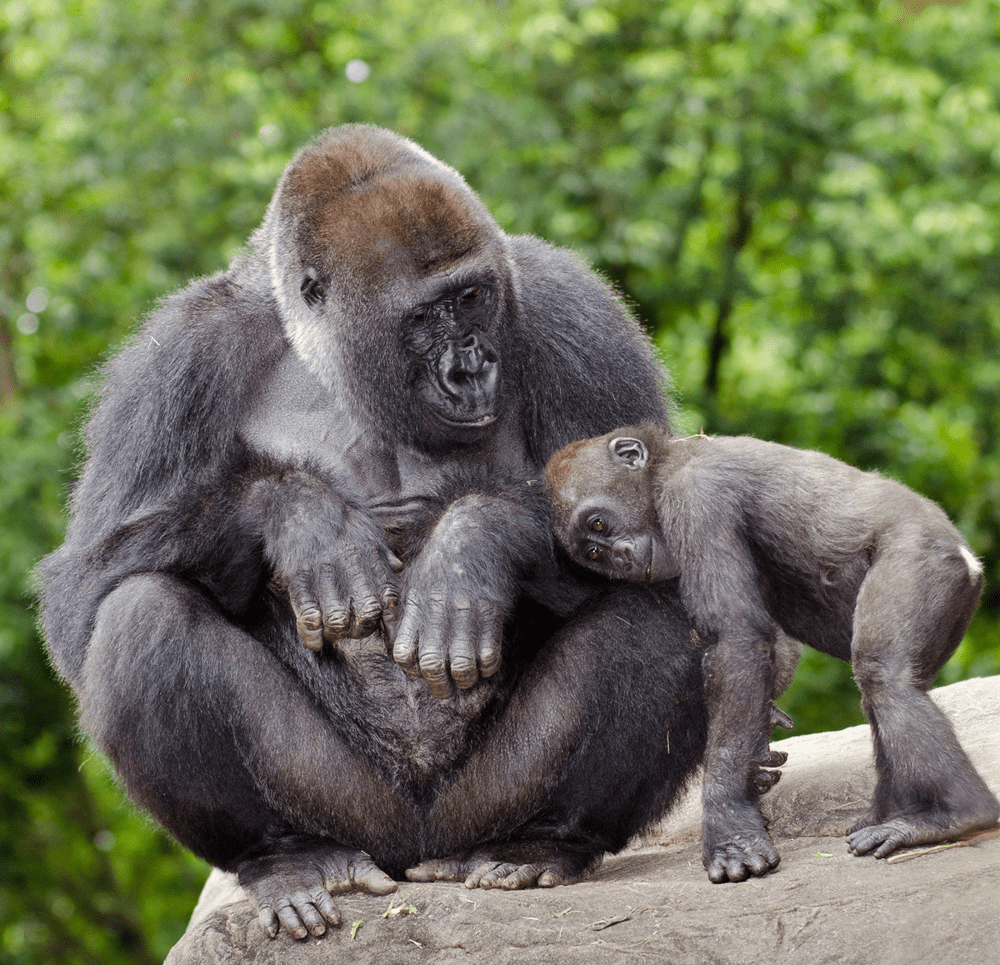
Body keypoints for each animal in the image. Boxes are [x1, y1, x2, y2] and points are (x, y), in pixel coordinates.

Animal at [43, 124, 708, 936]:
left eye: (472, 298)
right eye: (424, 318)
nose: (471, 369)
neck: (325, 352)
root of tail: (415, 849)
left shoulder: (567, 306)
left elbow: (660, 513)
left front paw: (470, 545)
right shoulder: (181, 355)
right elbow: (81, 589)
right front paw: (299, 518)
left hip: (481, 805)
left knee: (659, 611)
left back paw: (545, 842)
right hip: (349, 809)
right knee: (142, 613)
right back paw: (287, 856)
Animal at [548, 422, 1000, 880]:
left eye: (599, 524)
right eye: (595, 554)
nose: (620, 557)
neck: (663, 467)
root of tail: (971, 561)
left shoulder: (694, 497)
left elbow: (738, 637)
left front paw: (729, 828)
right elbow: (764, 650)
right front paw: (757, 757)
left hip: (926, 560)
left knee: (884, 677)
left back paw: (955, 815)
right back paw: (900, 813)